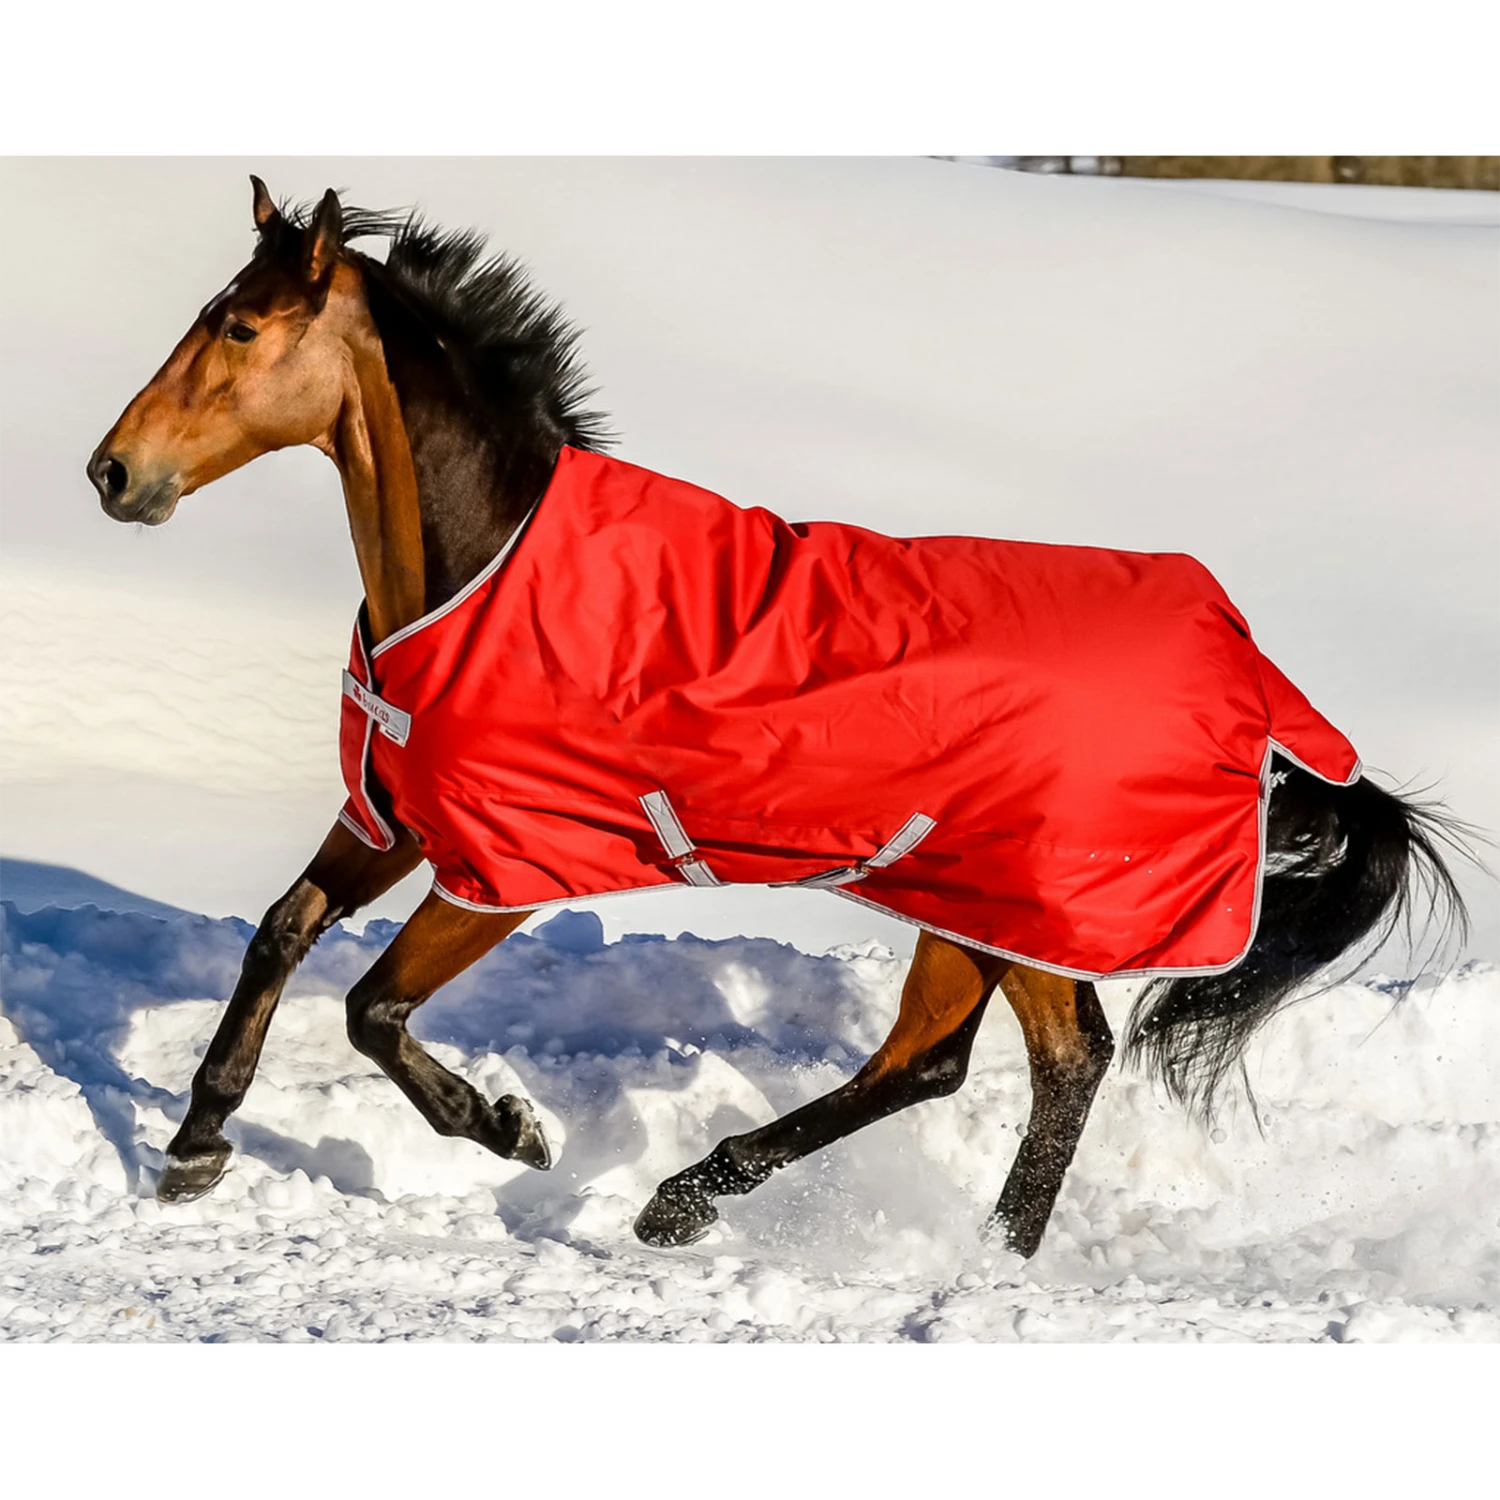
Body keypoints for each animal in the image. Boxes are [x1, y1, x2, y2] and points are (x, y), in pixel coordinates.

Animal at [87, 178, 1469, 1257]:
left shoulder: (510, 868)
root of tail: (1251, 682)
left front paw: (512, 1128)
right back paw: (828, 1225)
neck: (488, 569)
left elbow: (372, 1009)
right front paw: (196, 1144)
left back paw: (807, 1226)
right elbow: (280, 934)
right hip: (971, 905)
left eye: (241, 324)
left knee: (1038, 1062)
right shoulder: (400, 817)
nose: (113, 473)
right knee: (969, 1060)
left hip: (1025, 904)